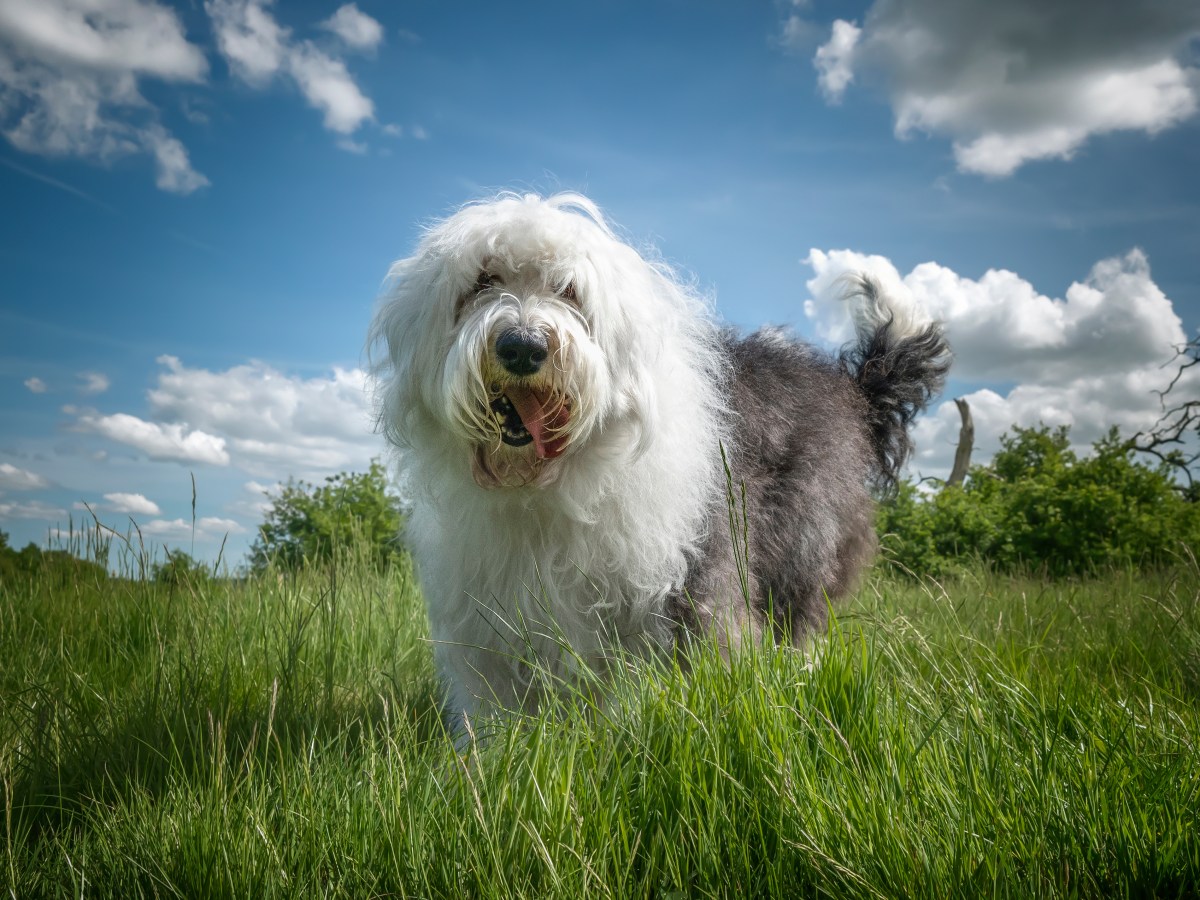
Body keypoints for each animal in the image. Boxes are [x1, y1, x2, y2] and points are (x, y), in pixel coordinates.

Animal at [369, 194, 950, 729]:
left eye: (569, 290)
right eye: (483, 281)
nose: (522, 346)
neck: (547, 486)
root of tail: (849, 389)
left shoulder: (680, 585)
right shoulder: (486, 608)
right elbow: (494, 704)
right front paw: (489, 760)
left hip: (802, 544)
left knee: (800, 623)